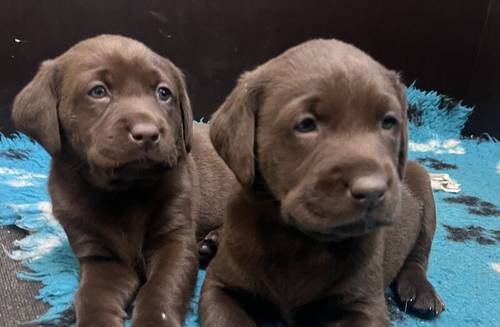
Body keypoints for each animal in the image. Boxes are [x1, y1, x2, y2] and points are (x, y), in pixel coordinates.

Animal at [200, 39, 446, 327]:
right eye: (306, 124)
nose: (372, 191)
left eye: (388, 122)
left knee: (419, 254)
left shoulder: (364, 304)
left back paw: (421, 291)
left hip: (423, 188)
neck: (299, 241)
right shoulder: (220, 286)